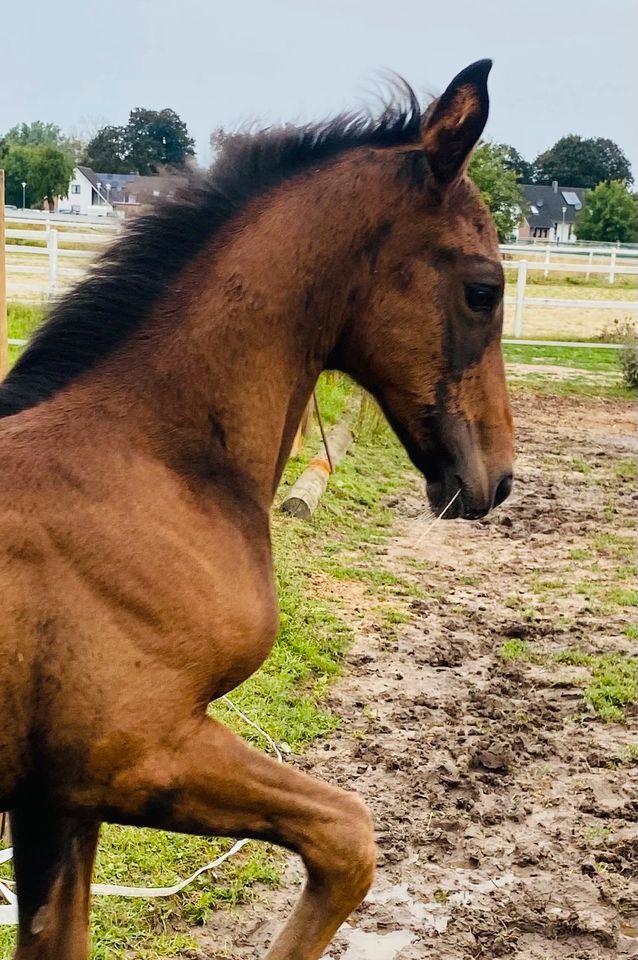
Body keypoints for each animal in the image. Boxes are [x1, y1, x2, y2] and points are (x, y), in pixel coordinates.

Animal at [0, 62, 512, 960]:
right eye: (483, 289)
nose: (499, 478)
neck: (151, 461)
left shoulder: (52, 799)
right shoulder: (132, 757)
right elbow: (350, 838)